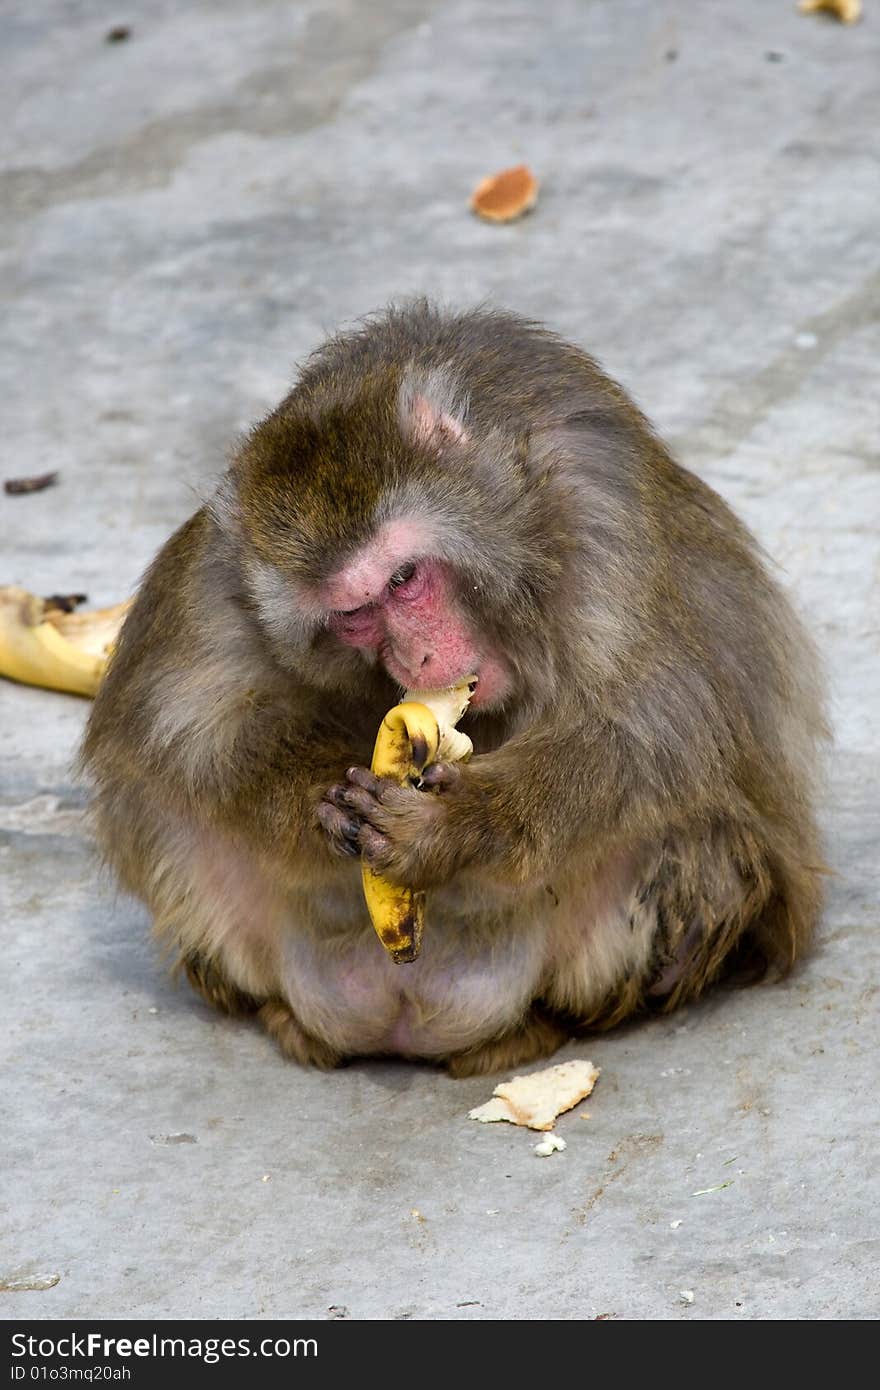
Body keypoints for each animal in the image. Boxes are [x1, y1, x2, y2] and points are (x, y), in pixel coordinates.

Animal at [78, 301, 828, 1073]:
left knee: (699, 823)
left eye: (405, 578)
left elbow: (652, 729)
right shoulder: (224, 573)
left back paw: (543, 1023)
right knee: (154, 802)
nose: (415, 657)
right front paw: (320, 800)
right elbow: (184, 717)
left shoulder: (603, 523)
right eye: (354, 614)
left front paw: (456, 830)